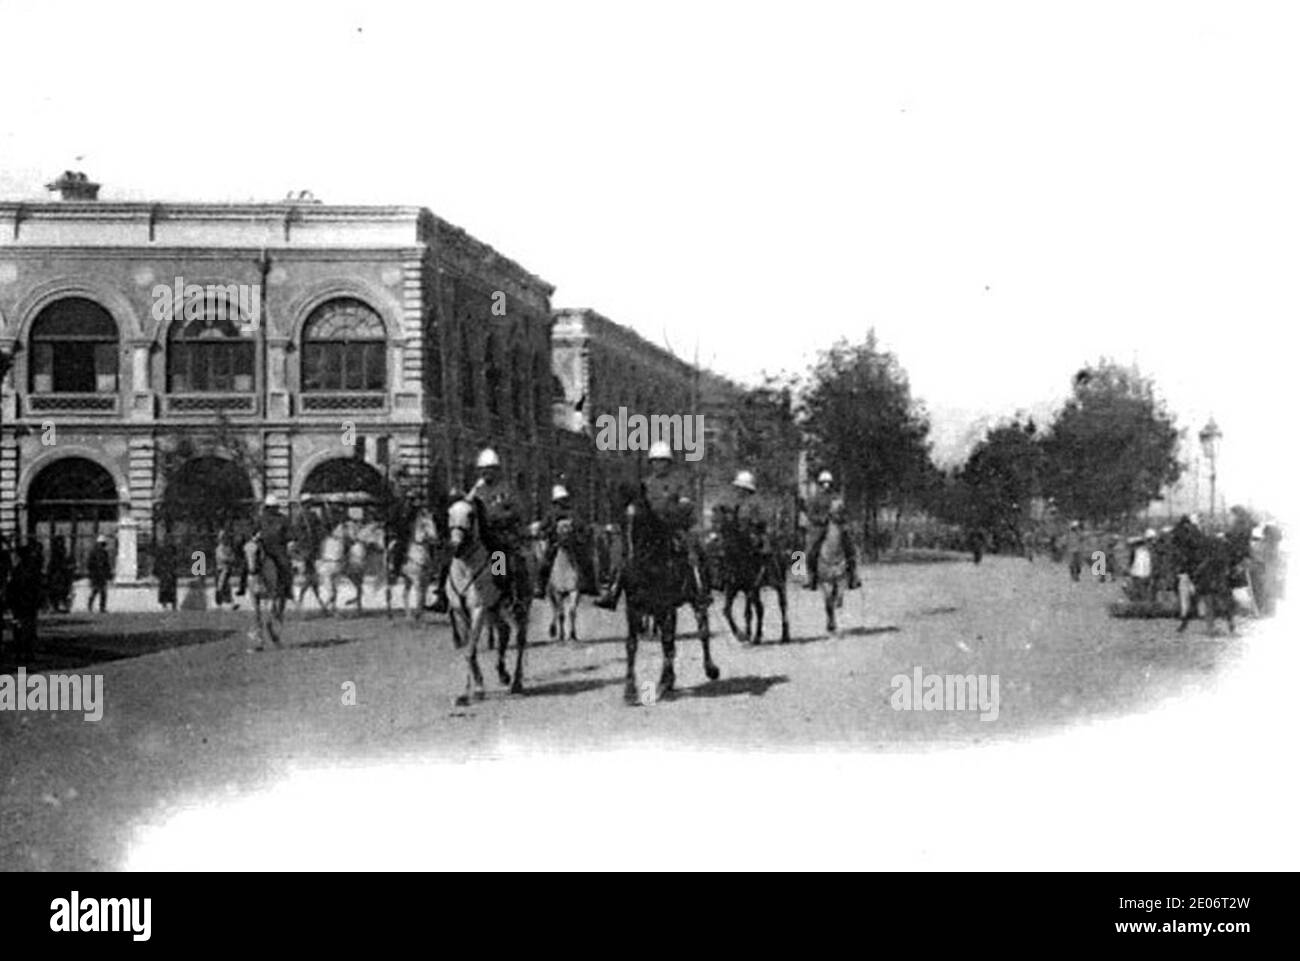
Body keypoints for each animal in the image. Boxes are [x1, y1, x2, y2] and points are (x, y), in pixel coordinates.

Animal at [444, 499, 525, 712]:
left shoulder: (478, 611)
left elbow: (470, 651)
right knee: (504, 636)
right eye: (449, 513)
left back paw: (517, 682)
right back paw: (504, 675)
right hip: (496, 611)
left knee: (520, 642)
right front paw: (474, 689)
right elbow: (469, 650)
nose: (455, 546)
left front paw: (470, 693)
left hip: (519, 611)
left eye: (470, 514)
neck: (465, 571)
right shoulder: (461, 613)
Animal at [621, 499, 722, 702]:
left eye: (642, 523)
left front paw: (663, 683)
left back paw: (710, 669)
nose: (630, 560)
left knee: (703, 632)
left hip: (694, 602)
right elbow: (632, 644)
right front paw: (630, 690)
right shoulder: (634, 608)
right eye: (624, 522)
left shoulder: (664, 606)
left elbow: (667, 643)